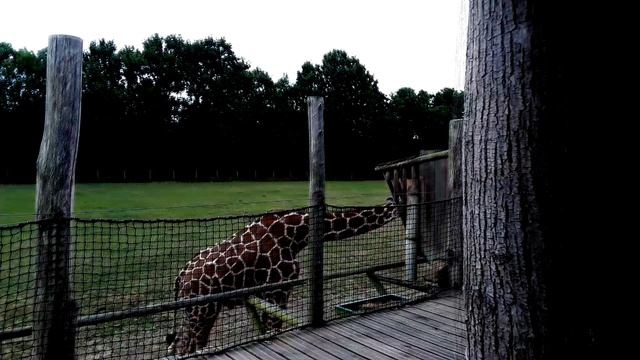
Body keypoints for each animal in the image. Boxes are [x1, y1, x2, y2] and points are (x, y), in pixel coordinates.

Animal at [166, 198, 396, 356]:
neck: (298, 233)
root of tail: (180, 278)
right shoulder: (278, 288)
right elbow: (274, 329)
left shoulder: (270, 292)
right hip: (203, 309)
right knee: (191, 345)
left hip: (195, 311)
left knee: (181, 345)